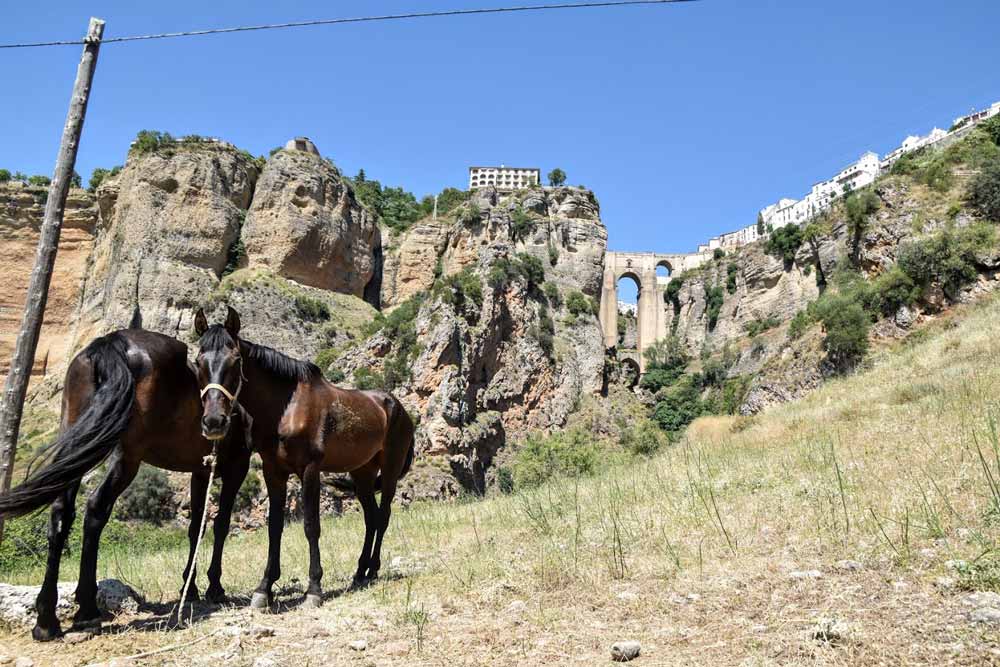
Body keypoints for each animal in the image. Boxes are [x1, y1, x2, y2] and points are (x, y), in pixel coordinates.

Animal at [0, 328, 250, 640]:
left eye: (234, 363)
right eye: (201, 363)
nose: (215, 421)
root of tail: (111, 343)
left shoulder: (200, 473)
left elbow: (196, 528)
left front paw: (189, 588)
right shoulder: (235, 470)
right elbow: (220, 526)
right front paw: (214, 588)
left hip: (77, 442)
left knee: (61, 513)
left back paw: (47, 619)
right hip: (126, 458)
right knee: (95, 509)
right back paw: (86, 611)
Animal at [191, 308, 414, 612]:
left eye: (235, 361)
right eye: (197, 361)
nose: (214, 422)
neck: (287, 409)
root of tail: (397, 406)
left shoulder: (310, 470)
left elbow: (311, 526)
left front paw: (314, 589)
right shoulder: (274, 472)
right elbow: (275, 527)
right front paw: (264, 588)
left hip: (390, 471)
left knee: (383, 516)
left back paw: (373, 569)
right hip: (363, 475)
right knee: (371, 517)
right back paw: (361, 572)